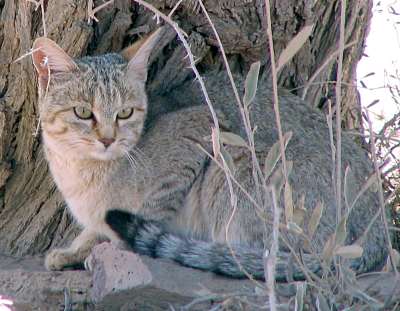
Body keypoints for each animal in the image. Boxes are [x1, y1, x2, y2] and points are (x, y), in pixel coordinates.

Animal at [31, 26, 388, 280]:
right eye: (82, 112)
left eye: (125, 113)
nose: (107, 139)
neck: (80, 174)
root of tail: (380, 228)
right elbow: (95, 228)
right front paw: (75, 249)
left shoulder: (197, 132)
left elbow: (141, 214)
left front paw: (102, 249)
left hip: (235, 163)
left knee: (268, 260)